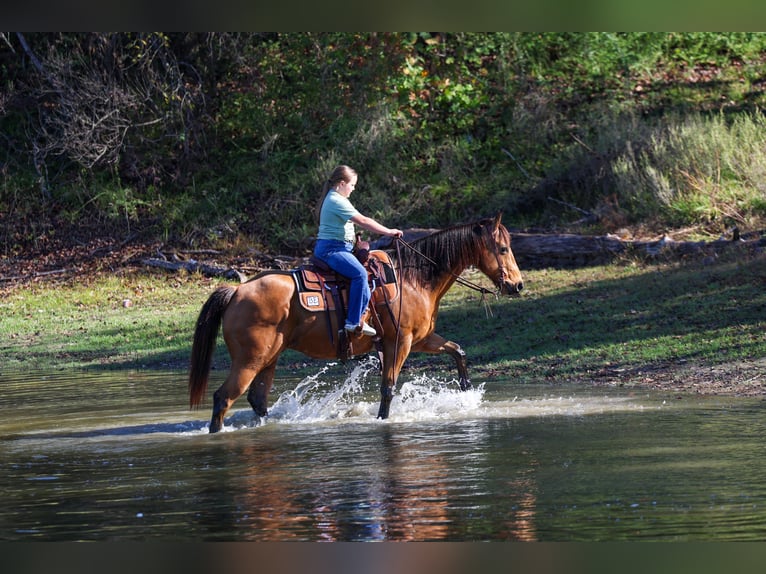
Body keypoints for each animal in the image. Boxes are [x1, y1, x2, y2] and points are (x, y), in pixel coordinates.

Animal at [188, 214, 523, 433]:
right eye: (503, 249)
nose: (517, 285)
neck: (413, 279)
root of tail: (237, 291)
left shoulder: (421, 339)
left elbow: (458, 350)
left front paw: (466, 392)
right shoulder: (399, 342)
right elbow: (388, 387)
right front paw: (382, 420)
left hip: (268, 359)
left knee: (257, 400)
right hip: (249, 360)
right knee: (223, 399)